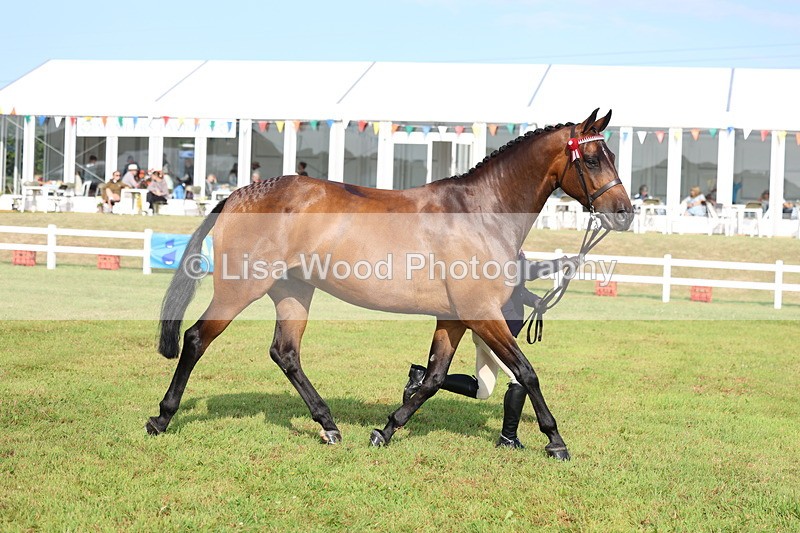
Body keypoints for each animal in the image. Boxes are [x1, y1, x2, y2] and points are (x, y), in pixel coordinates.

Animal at [147, 109, 633, 460]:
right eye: (592, 159)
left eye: (611, 156)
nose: (625, 212)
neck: (480, 212)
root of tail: (240, 194)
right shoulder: (481, 314)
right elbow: (527, 372)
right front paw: (556, 440)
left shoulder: (453, 318)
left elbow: (433, 378)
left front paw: (386, 430)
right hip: (239, 289)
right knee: (196, 339)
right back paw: (162, 418)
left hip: (293, 292)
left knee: (285, 353)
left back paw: (329, 425)